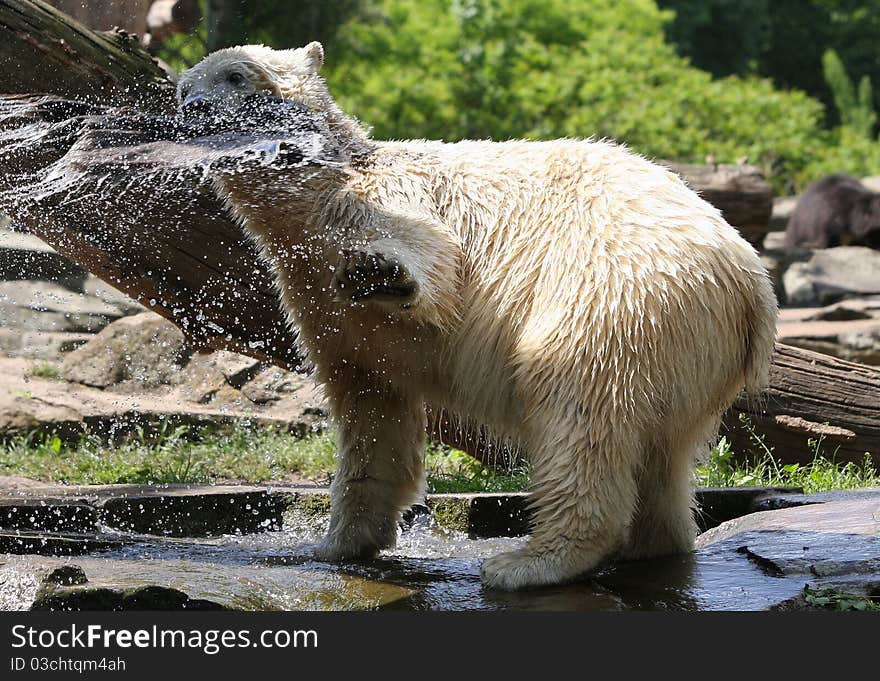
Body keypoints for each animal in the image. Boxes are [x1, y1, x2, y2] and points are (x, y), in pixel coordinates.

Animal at [180, 45, 776, 588]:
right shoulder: (318, 303)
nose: (191, 106)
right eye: (185, 85)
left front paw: (380, 272)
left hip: (614, 293)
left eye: (235, 75)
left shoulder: (384, 200)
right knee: (660, 457)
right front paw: (338, 544)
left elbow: (433, 260)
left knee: (576, 400)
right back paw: (649, 543)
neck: (313, 202)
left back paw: (528, 562)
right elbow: (371, 412)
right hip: (684, 351)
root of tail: (752, 283)